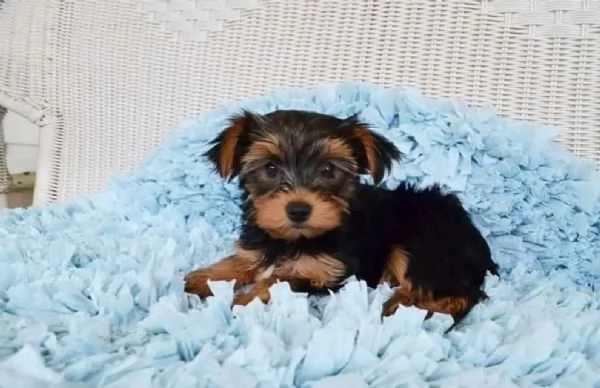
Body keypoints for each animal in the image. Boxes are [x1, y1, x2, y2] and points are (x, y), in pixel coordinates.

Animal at [185, 108, 500, 330]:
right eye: (271, 168)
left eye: (327, 170)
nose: (298, 210)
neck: (292, 239)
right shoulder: (260, 246)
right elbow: (241, 262)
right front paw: (203, 278)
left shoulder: (325, 271)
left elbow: (279, 280)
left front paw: (244, 300)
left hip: (424, 241)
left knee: (462, 293)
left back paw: (405, 305)